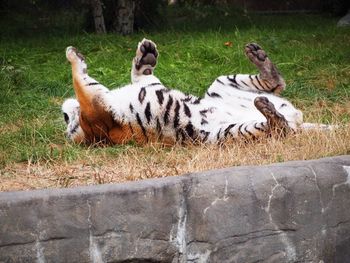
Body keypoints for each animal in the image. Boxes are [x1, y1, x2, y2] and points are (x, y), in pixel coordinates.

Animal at [63, 39, 330, 145]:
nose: (64, 113)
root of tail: (299, 120)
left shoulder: (145, 85)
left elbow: (141, 75)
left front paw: (146, 55)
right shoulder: (95, 108)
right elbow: (79, 80)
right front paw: (73, 55)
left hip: (221, 84)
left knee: (276, 82)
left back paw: (258, 56)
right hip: (224, 133)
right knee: (279, 126)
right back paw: (268, 110)